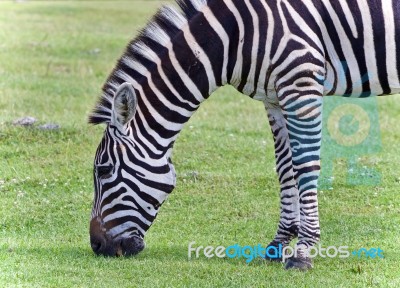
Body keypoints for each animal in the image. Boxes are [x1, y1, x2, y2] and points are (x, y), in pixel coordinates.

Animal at [88, 0, 400, 270]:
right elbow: (285, 169)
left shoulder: (301, 83)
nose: (96, 246)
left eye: (104, 170)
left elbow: (305, 166)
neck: (234, 35)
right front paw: (278, 244)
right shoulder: (274, 98)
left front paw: (303, 252)